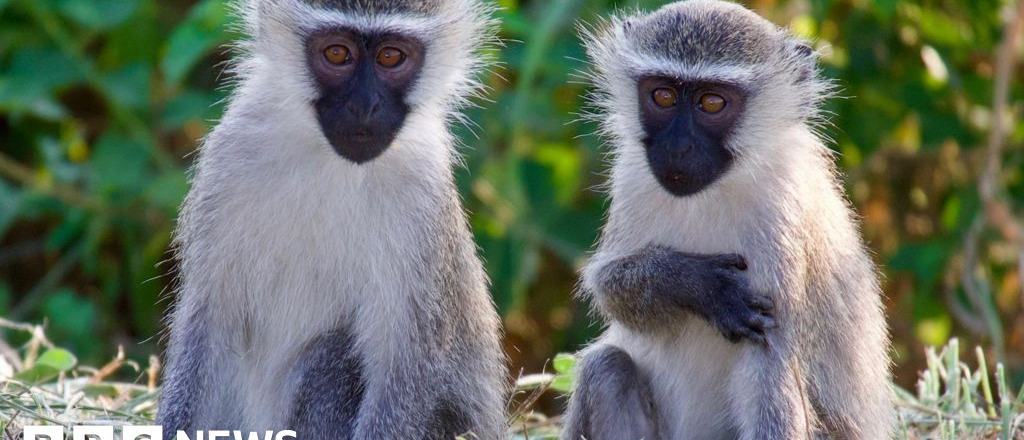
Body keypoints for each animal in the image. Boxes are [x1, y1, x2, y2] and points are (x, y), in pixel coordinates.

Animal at [156, 1, 507, 439]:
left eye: (391, 57)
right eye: (337, 53)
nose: (364, 106)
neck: (331, 162)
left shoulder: (423, 196)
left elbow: (409, 366)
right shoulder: (230, 156)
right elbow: (208, 323)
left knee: (331, 360)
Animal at [562, 1, 893, 439]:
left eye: (712, 104)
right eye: (662, 95)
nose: (678, 148)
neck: (715, 190)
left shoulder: (782, 211)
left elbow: (770, 359)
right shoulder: (631, 176)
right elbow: (608, 286)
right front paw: (694, 283)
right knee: (606, 367)